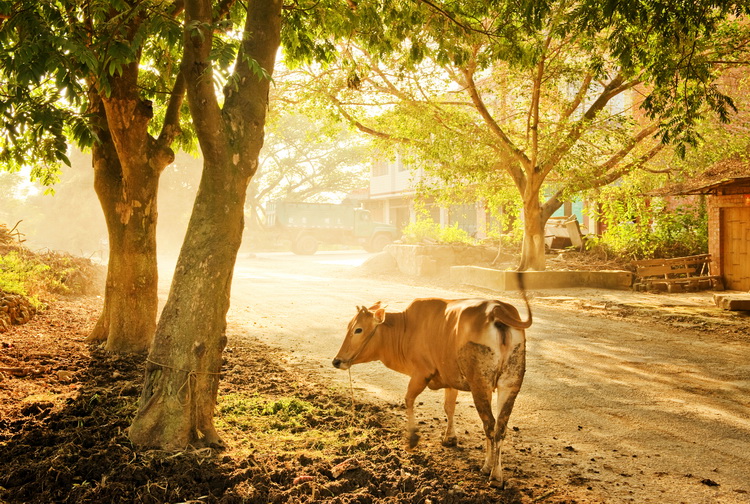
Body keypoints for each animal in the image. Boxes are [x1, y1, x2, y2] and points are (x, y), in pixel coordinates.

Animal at [332, 294, 532, 486]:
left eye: (358, 329)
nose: (337, 361)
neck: (407, 328)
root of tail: (496, 309)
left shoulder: (421, 373)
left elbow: (409, 399)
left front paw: (412, 439)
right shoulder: (451, 378)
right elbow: (449, 407)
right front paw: (450, 438)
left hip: (479, 384)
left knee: (489, 425)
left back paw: (492, 472)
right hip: (510, 384)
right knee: (500, 427)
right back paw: (495, 471)